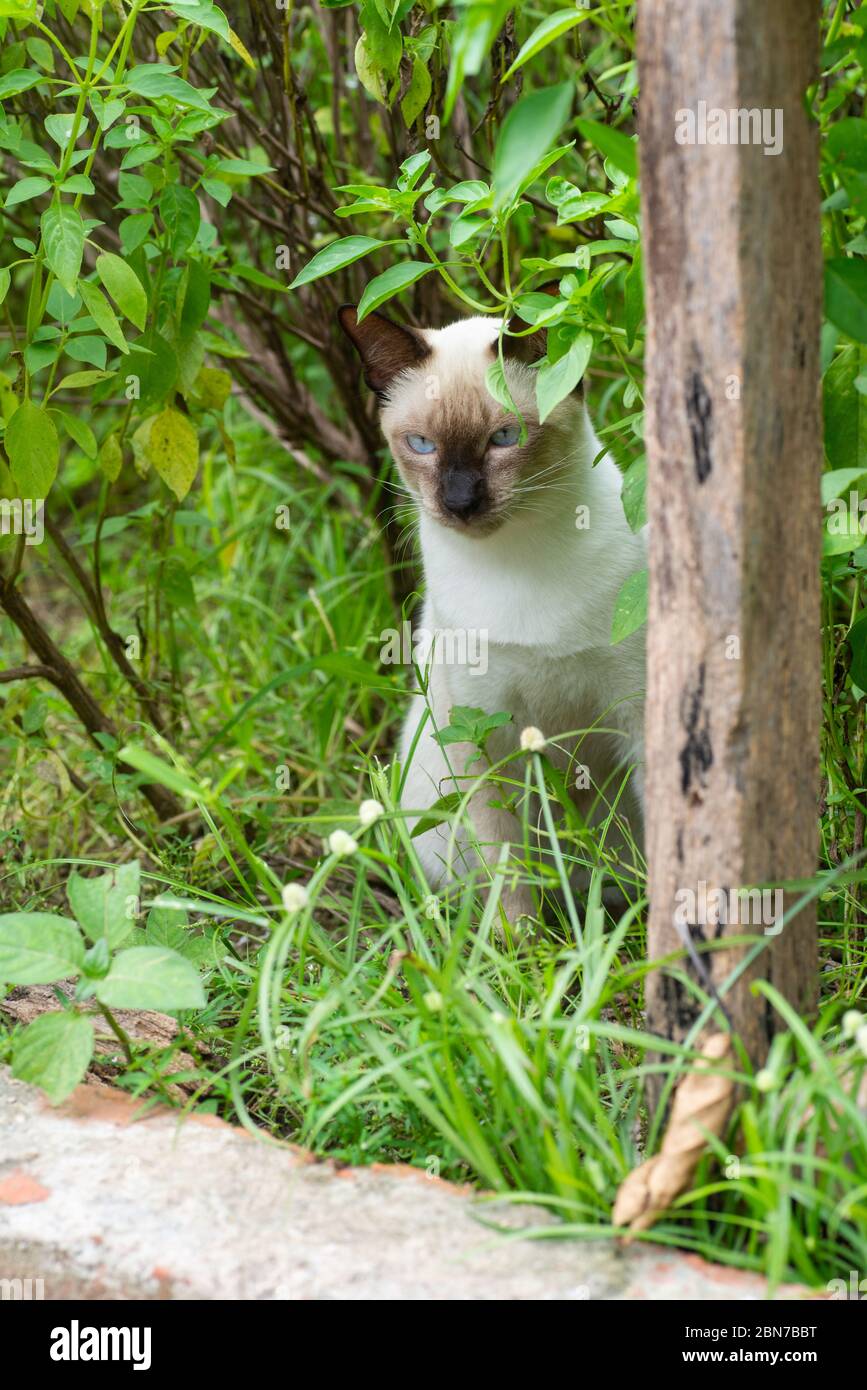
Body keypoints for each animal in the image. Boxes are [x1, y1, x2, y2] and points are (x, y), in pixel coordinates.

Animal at [339, 304, 644, 922]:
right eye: (422, 444)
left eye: (505, 438)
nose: (460, 503)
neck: (517, 559)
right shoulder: (484, 738)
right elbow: (511, 885)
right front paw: (526, 949)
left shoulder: (636, 713)